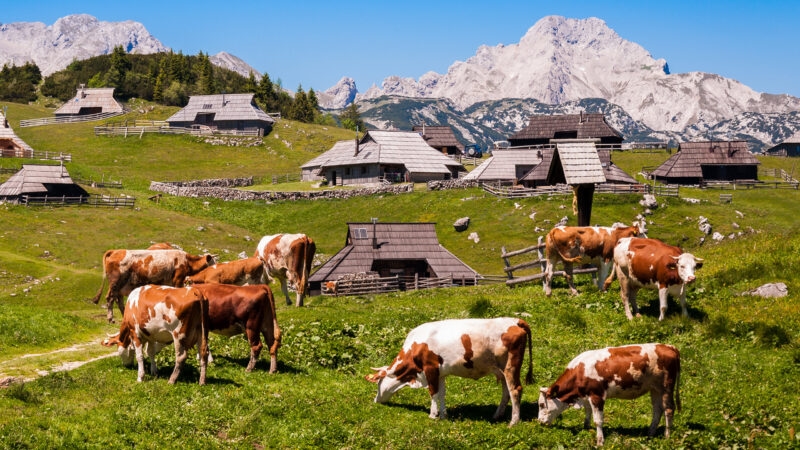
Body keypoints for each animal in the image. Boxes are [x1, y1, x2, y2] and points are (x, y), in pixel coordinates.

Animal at [365, 317, 533, 426]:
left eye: (378, 382)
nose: (375, 400)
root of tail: (515, 320)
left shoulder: (430, 368)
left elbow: (433, 392)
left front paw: (433, 415)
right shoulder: (440, 373)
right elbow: (442, 393)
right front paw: (443, 415)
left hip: (510, 366)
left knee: (515, 390)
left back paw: (514, 421)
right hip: (502, 370)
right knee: (506, 392)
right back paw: (497, 416)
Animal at [538, 343, 681, 446]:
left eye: (541, 405)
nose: (539, 422)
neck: (580, 370)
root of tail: (669, 347)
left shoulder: (597, 396)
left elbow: (598, 420)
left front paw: (600, 441)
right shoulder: (587, 395)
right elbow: (587, 412)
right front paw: (586, 428)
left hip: (666, 387)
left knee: (668, 409)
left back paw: (667, 436)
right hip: (655, 389)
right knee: (657, 409)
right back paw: (650, 434)